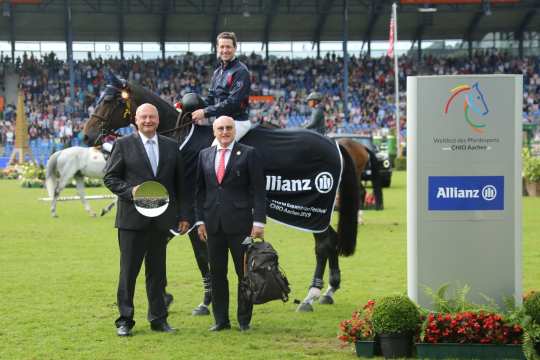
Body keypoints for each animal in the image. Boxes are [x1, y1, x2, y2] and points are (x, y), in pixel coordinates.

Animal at [83, 78, 362, 312]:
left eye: (110, 101)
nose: (87, 135)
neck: (181, 139)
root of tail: (335, 143)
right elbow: (164, 244)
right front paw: (166, 295)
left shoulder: (193, 216)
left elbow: (202, 257)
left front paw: (205, 301)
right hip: (316, 214)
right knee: (331, 241)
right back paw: (329, 290)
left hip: (313, 211)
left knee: (323, 244)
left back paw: (311, 296)